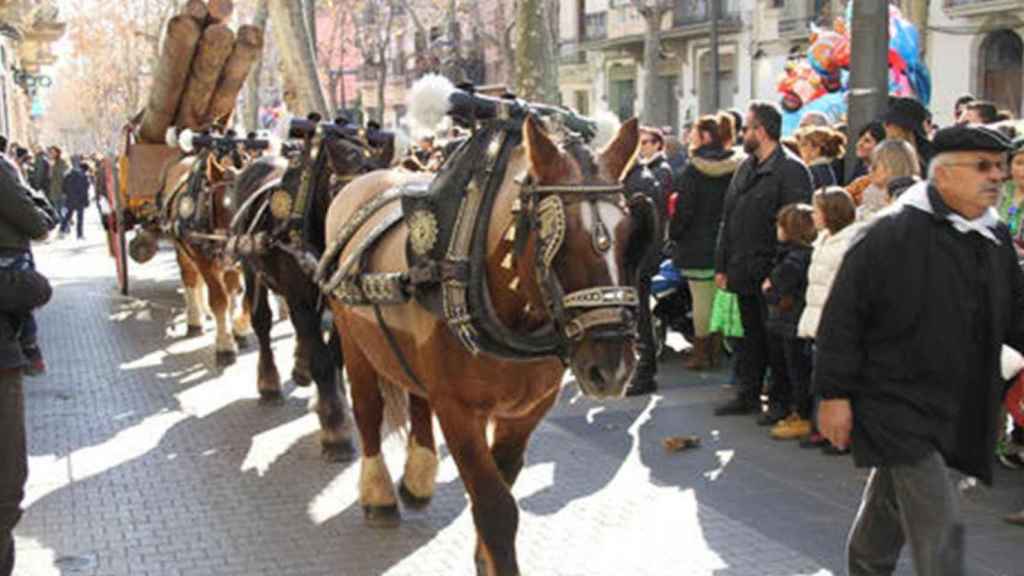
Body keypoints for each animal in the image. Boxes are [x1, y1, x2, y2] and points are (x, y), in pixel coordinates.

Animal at [321, 113, 655, 573]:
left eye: (627, 237)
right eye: (558, 239)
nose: (612, 368)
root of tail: (360, 181)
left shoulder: (526, 412)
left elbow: (499, 488)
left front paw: (484, 557)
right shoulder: (459, 411)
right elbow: (495, 505)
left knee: (417, 397)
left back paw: (418, 477)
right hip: (352, 337)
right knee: (368, 409)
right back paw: (379, 493)